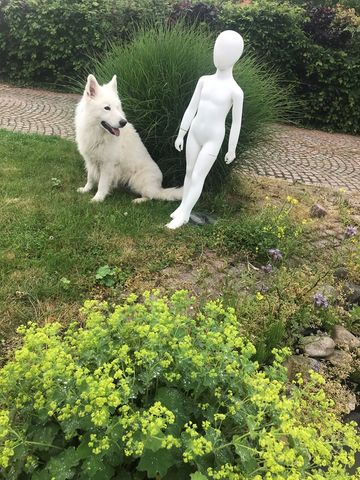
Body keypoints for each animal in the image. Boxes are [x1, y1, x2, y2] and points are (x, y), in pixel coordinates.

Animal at [75, 74, 183, 202]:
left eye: (118, 107)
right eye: (107, 108)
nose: (123, 122)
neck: (97, 132)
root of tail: (159, 188)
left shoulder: (107, 165)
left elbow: (102, 184)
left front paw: (97, 199)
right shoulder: (89, 161)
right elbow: (90, 178)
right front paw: (86, 189)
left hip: (137, 181)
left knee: (151, 196)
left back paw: (138, 200)